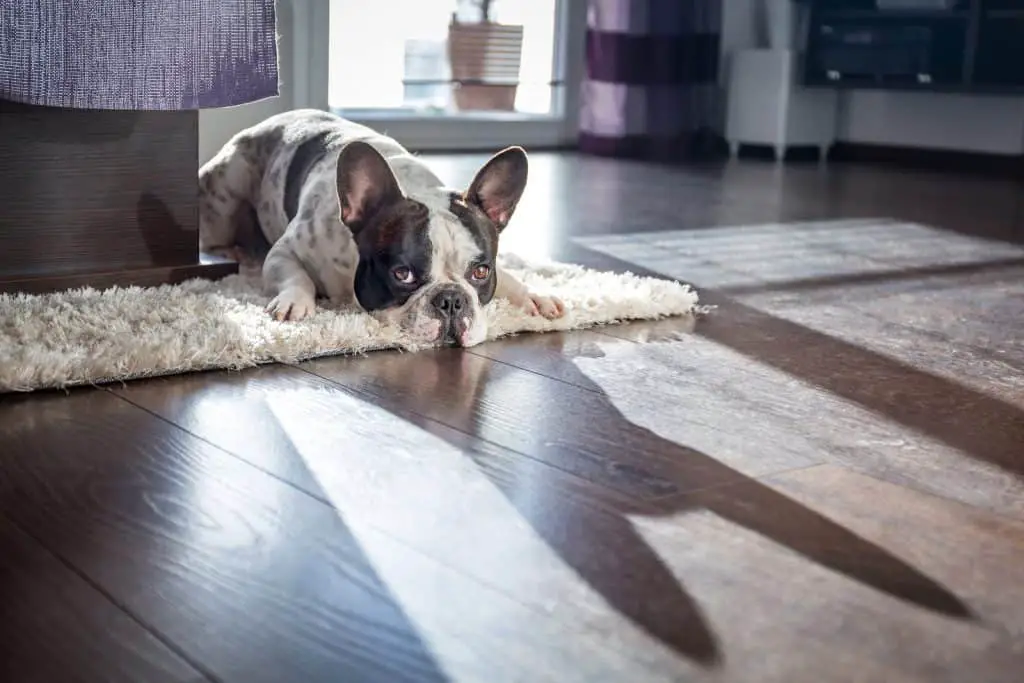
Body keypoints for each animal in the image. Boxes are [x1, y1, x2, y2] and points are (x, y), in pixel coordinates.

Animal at [197, 111, 569, 350]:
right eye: (402, 274)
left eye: (481, 272)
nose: (451, 300)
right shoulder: (284, 251)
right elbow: (295, 276)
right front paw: (294, 302)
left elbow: (509, 276)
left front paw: (534, 296)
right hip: (226, 191)